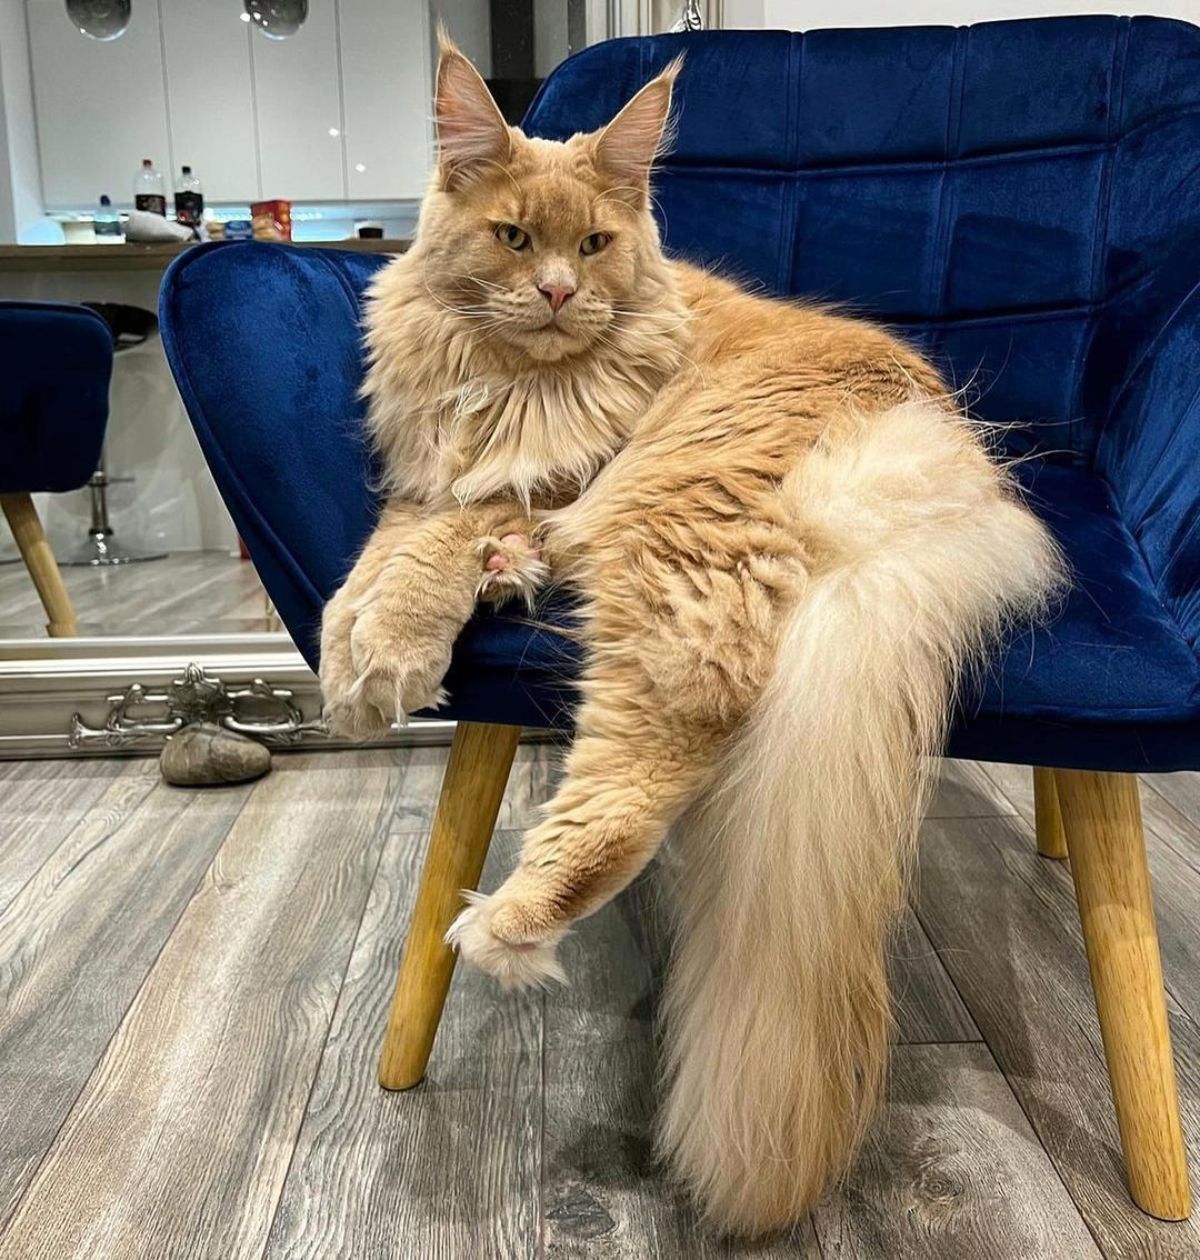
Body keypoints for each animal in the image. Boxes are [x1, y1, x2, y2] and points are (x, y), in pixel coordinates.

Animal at [316, 41, 1058, 1239]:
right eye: (514, 238)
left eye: (594, 246)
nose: (560, 292)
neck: (510, 376)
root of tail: (941, 458)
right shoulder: (439, 473)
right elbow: (387, 549)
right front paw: (350, 650)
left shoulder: (542, 480)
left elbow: (427, 555)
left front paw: (386, 653)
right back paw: (509, 579)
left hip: (665, 521)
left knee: (668, 741)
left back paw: (514, 920)